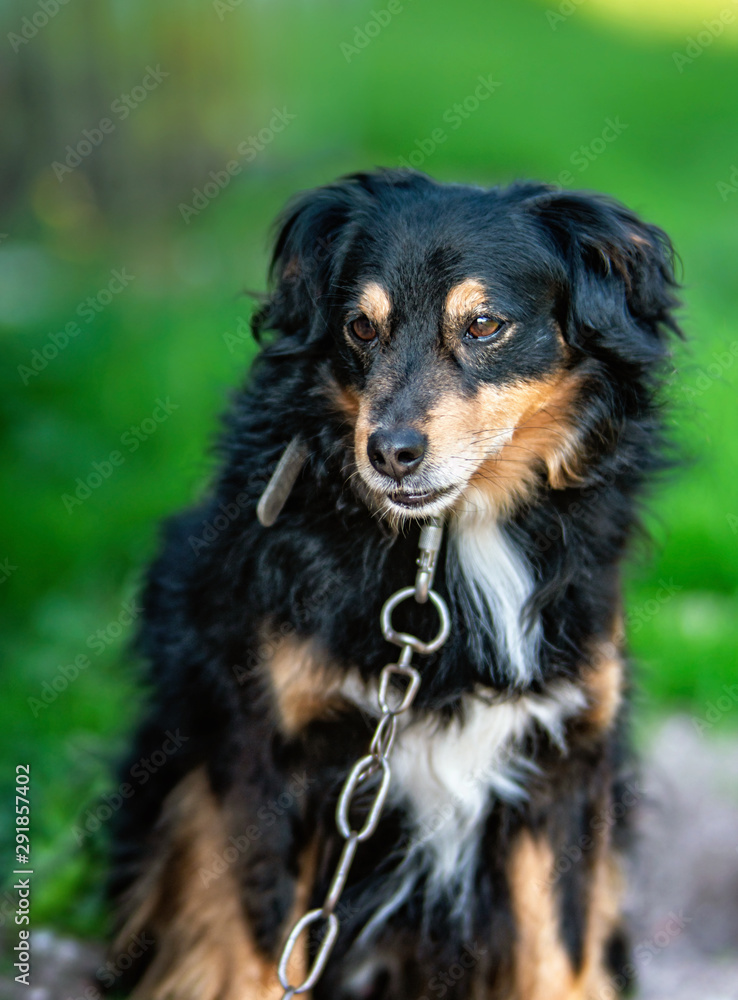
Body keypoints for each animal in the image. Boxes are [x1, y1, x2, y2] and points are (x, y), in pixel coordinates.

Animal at [109, 168, 680, 996]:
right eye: (360, 327)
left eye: (484, 326)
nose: (390, 453)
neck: (450, 542)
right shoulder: (268, 763)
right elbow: (260, 957)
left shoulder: (564, 766)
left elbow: (560, 959)